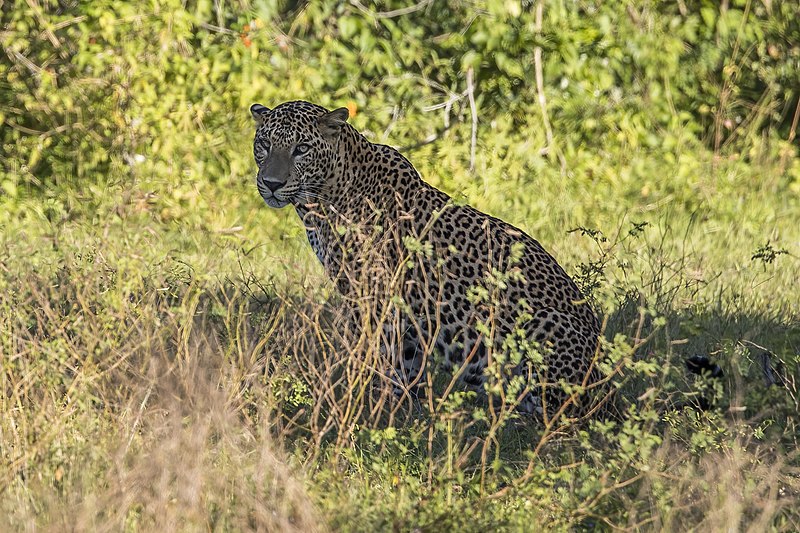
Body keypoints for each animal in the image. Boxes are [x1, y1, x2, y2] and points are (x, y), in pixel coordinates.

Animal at [248, 101, 600, 420]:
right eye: (264, 144)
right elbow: (403, 364)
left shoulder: (376, 294)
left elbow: (378, 358)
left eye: (302, 148)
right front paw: (406, 413)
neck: (320, 201)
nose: (272, 184)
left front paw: (373, 413)